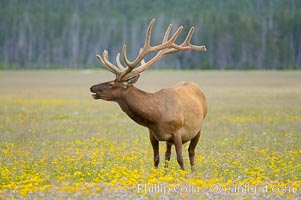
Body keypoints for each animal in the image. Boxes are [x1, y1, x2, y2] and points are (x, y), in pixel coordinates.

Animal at [89, 18, 206, 171]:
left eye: (111, 84)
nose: (92, 87)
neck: (156, 117)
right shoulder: (152, 134)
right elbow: (156, 159)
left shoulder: (177, 133)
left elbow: (180, 159)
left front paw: (184, 175)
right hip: (170, 140)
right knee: (167, 155)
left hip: (198, 128)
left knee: (191, 152)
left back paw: (193, 172)